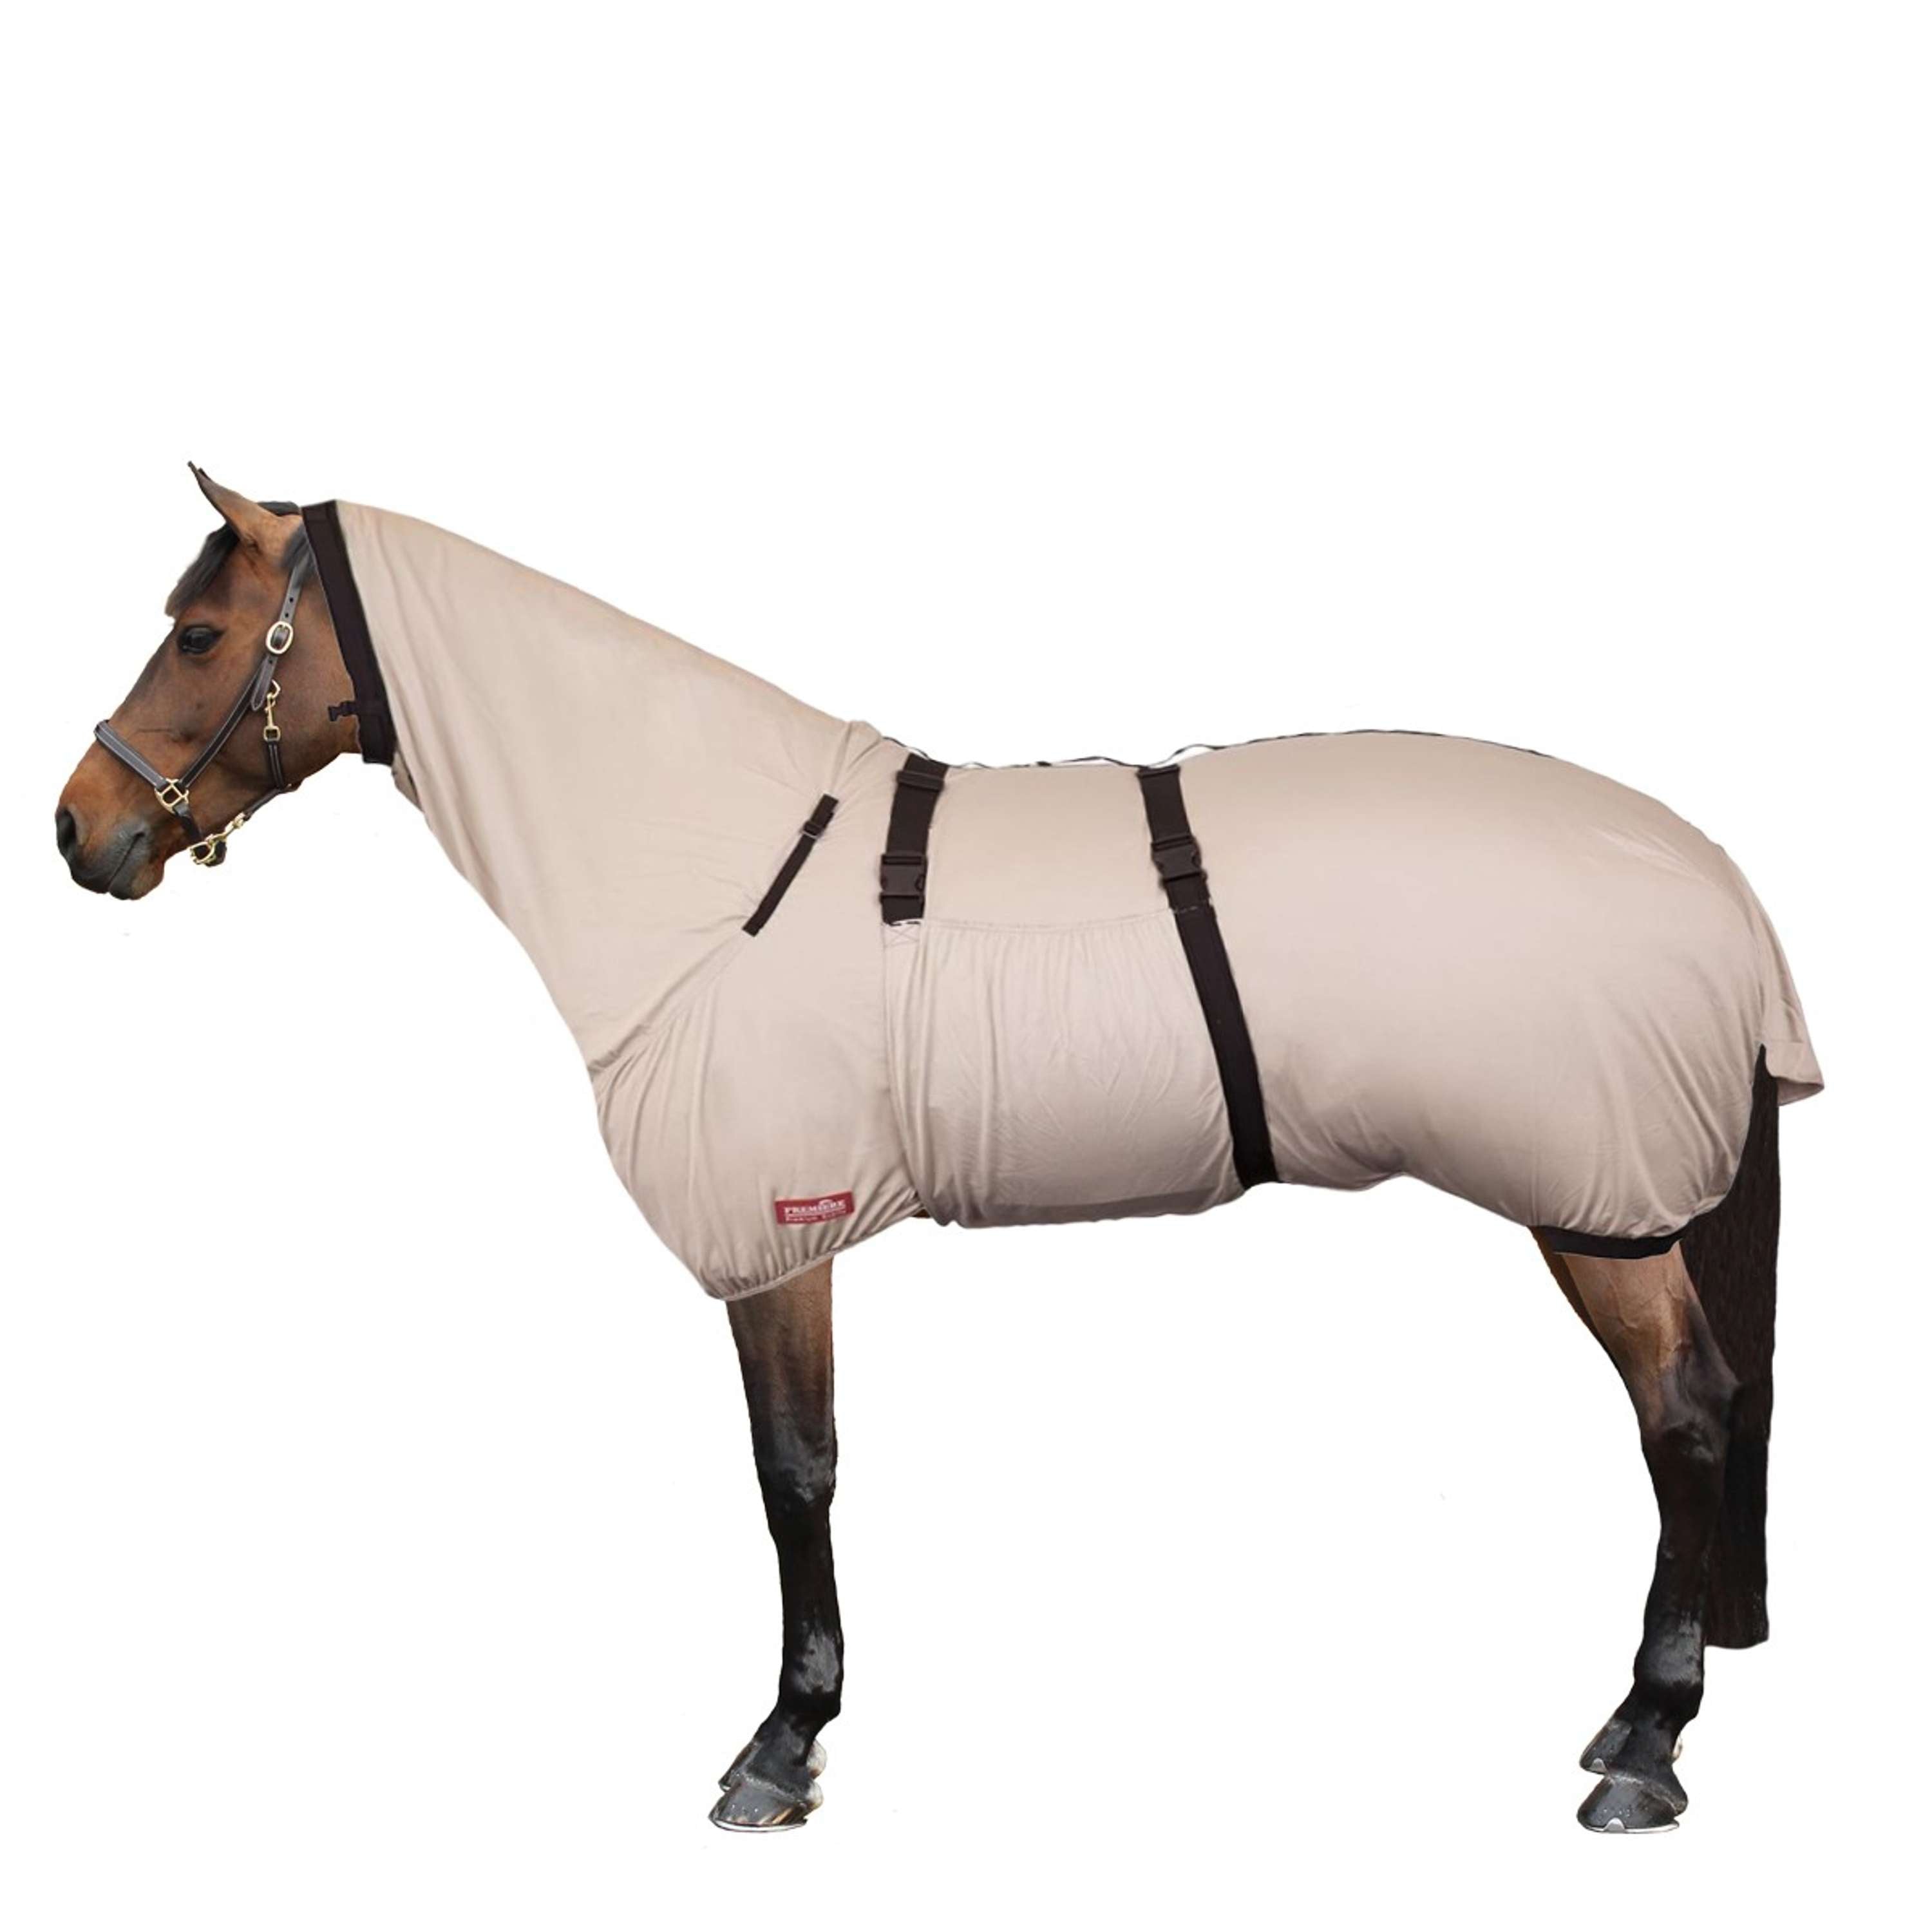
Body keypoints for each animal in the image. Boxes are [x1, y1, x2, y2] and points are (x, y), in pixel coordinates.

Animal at [57, 470, 1821, 1835]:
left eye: (201, 633)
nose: (82, 829)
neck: (715, 868)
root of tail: (1719, 886)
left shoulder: (780, 1233)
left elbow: (794, 1472)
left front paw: (782, 1745)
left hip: (1595, 1206)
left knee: (1684, 1416)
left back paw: (1645, 1745)